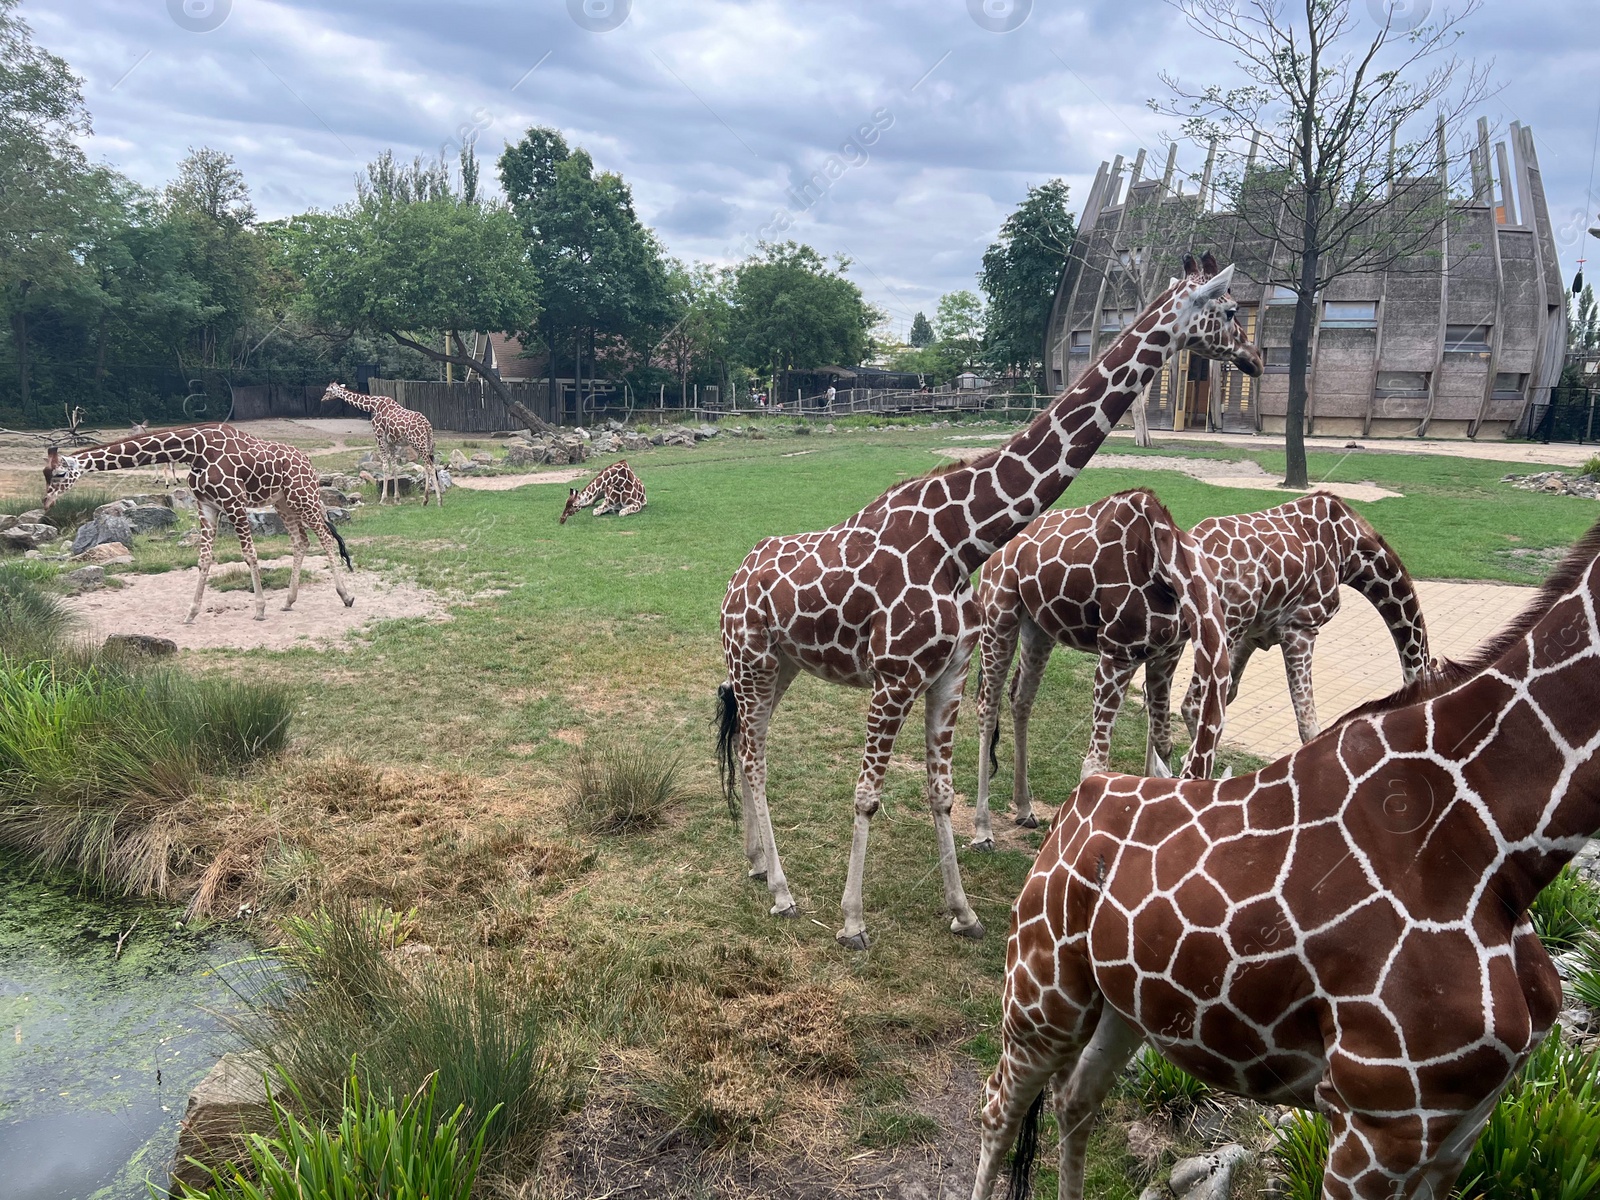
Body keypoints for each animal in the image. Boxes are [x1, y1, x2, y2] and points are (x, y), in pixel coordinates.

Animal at [43, 422, 353, 624]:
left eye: (59, 474)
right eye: (45, 473)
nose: (46, 502)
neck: (193, 450)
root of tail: (308, 463)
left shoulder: (234, 502)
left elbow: (249, 554)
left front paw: (260, 609)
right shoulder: (206, 506)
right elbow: (204, 559)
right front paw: (191, 612)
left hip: (304, 497)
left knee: (326, 537)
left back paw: (346, 596)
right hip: (283, 502)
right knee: (301, 541)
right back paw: (289, 601)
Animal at [966, 483, 1228, 851]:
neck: (1167, 565)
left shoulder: (1167, 655)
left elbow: (1163, 745)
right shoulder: (1117, 653)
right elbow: (1094, 765)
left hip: (1039, 627)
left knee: (1022, 698)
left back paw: (1025, 808)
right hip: (998, 611)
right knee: (987, 707)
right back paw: (983, 830)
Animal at [966, 521, 1600, 1200]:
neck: (1501, 856)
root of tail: (1074, 807)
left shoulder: (1462, 1127)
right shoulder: (1378, 1121)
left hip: (1122, 1004)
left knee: (1075, 1099)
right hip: (1043, 991)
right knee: (998, 1105)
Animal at [1152, 492, 1440, 748]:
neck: (1350, 550)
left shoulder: (1254, 635)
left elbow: (1231, 693)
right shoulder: (1301, 627)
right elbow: (1308, 725)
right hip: (1223, 629)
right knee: (1192, 703)